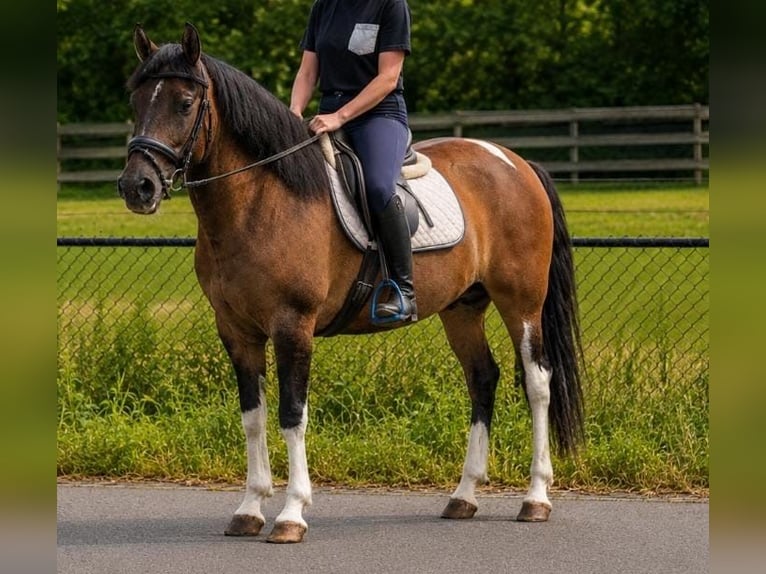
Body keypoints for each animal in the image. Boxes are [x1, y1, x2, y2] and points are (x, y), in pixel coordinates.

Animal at [118, 23, 584, 544]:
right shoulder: (236, 332)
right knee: (482, 379)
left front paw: (292, 514)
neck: (261, 201)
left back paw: (536, 497)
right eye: (136, 101)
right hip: (463, 308)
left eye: (183, 103)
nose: (137, 187)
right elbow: (253, 418)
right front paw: (249, 508)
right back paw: (463, 496)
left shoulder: (293, 327)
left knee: (537, 382)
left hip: (521, 301)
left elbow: (292, 415)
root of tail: (515, 163)